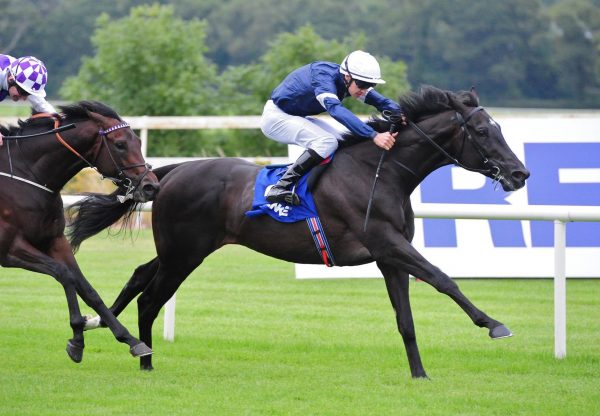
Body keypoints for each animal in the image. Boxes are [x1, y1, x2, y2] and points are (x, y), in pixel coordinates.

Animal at [0, 101, 161, 364]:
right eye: (120, 144)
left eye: (138, 141)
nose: (151, 187)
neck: (26, 176)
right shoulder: (9, 249)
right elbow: (65, 274)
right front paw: (77, 335)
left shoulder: (55, 241)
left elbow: (86, 288)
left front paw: (130, 339)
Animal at [71, 86, 528, 376]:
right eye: (483, 131)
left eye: (501, 128)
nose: (520, 173)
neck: (381, 173)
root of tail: (173, 170)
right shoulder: (387, 243)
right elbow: (442, 278)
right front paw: (494, 325)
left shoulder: (389, 257)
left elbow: (406, 319)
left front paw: (419, 375)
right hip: (184, 254)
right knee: (150, 300)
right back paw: (145, 360)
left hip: (180, 250)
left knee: (139, 276)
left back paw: (104, 327)